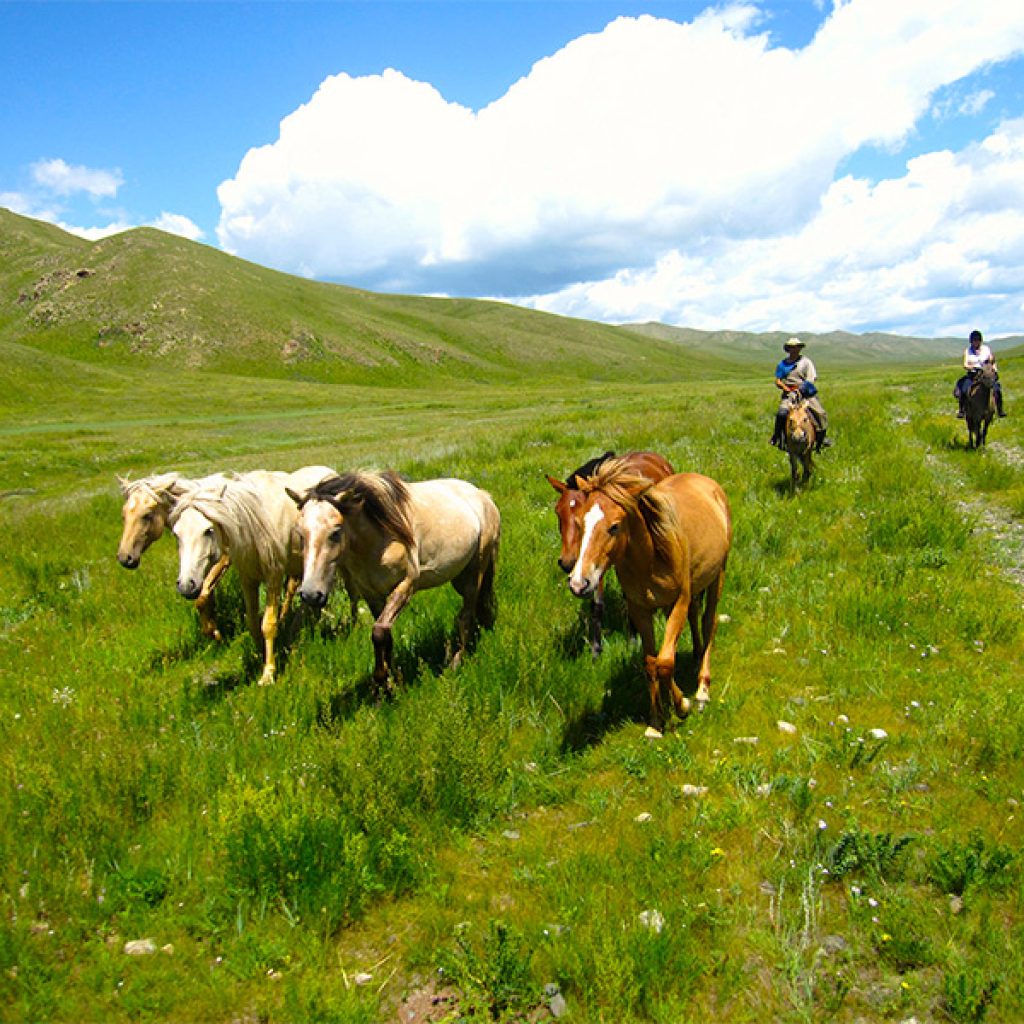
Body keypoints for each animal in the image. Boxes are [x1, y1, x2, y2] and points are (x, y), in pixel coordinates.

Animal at [117, 473, 231, 634]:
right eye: (124, 515)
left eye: (147, 515)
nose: (124, 558)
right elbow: (205, 594)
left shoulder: (222, 559)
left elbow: (202, 596)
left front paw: (212, 632)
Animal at [171, 468, 331, 684]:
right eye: (176, 534)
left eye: (208, 530)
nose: (187, 586)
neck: (255, 523)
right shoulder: (248, 579)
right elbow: (253, 623)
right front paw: (259, 657)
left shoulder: (273, 577)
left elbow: (268, 624)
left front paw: (268, 673)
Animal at [288, 471, 499, 696]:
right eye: (300, 534)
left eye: (335, 532)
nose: (311, 595)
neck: (380, 540)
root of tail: (483, 495)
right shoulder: (371, 594)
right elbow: (386, 635)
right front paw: (391, 684)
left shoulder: (406, 586)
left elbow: (379, 632)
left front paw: (382, 682)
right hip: (459, 576)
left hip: (475, 573)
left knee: (466, 615)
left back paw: (456, 662)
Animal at [544, 450, 671, 655]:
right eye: (558, 512)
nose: (567, 562)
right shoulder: (594, 563)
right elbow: (596, 604)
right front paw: (596, 649)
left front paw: (633, 641)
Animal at [569, 458, 729, 737]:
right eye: (579, 523)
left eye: (614, 527)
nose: (580, 583)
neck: (651, 558)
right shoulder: (640, 610)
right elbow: (650, 663)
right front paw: (656, 721)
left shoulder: (678, 603)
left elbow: (665, 662)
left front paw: (682, 706)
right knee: (696, 618)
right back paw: (696, 655)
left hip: (717, 576)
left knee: (709, 622)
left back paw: (702, 690)